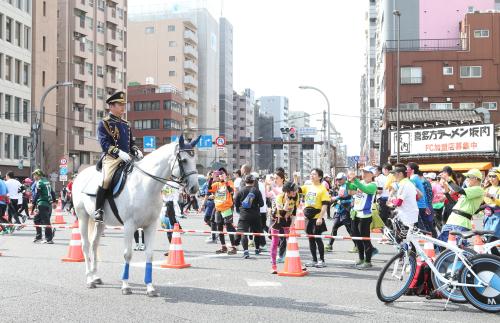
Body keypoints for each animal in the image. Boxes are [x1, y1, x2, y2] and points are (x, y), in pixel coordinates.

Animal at [71, 135, 199, 298]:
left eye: (194, 159)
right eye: (183, 160)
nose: (194, 188)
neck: (146, 186)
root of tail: (80, 175)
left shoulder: (150, 225)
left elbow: (149, 254)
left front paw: (150, 287)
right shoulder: (129, 225)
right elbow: (128, 254)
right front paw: (125, 285)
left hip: (100, 222)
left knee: (94, 245)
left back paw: (96, 276)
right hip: (82, 216)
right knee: (86, 245)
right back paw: (89, 279)